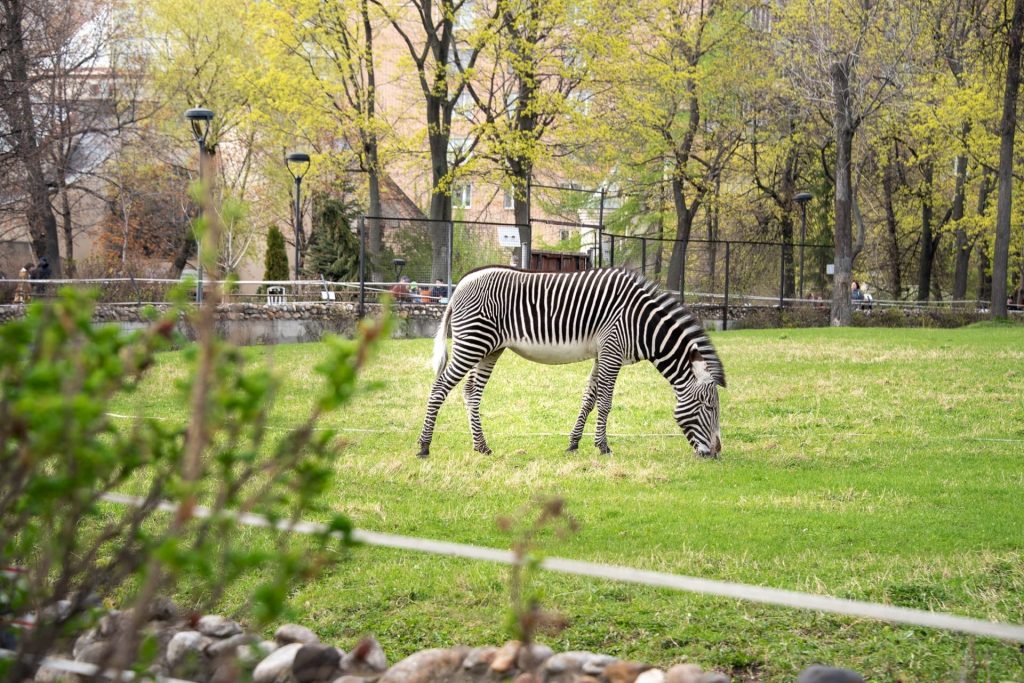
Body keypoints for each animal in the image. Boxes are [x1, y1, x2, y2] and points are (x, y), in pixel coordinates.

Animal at [417, 266, 729, 458]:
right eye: (710, 407)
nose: (716, 453)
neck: (641, 323)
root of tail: (460, 285)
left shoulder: (603, 353)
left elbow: (589, 398)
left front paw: (574, 443)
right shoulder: (613, 351)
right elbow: (605, 402)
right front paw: (603, 446)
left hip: (490, 349)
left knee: (471, 391)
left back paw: (481, 446)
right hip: (472, 343)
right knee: (439, 387)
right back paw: (423, 446)